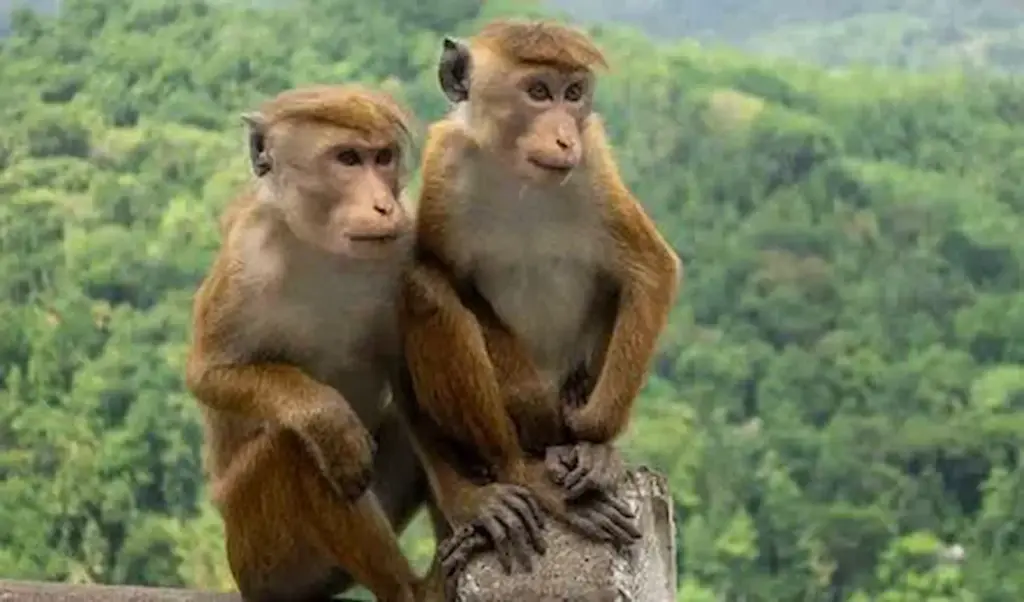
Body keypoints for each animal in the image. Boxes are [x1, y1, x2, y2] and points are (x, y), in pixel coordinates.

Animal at [183, 84, 440, 602]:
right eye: (348, 158)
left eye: (383, 158)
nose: (383, 205)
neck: (321, 247)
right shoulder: (245, 262)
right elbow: (210, 372)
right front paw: (326, 419)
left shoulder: (403, 240)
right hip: (258, 546)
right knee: (292, 446)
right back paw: (405, 587)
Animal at [397, 18, 683, 588]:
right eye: (537, 91)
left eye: (573, 94)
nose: (563, 135)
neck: (518, 176)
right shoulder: (444, 170)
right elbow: (449, 281)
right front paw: (531, 402)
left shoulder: (594, 165)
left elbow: (650, 270)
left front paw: (595, 441)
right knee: (422, 288)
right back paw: (518, 471)